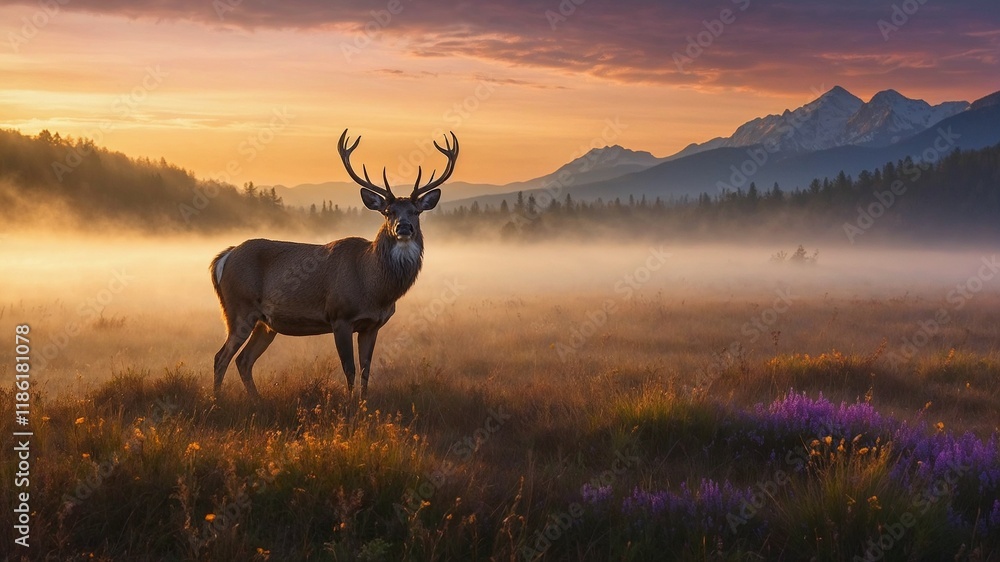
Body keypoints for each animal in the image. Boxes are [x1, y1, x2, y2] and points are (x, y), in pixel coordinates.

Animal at [209, 129, 458, 401]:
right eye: (388, 211)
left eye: (416, 211)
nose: (403, 227)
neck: (375, 288)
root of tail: (225, 256)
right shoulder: (340, 316)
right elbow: (349, 369)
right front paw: (349, 406)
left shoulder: (372, 325)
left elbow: (366, 370)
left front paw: (363, 404)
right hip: (238, 308)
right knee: (221, 357)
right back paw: (217, 400)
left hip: (265, 322)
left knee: (243, 360)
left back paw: (257, 401)